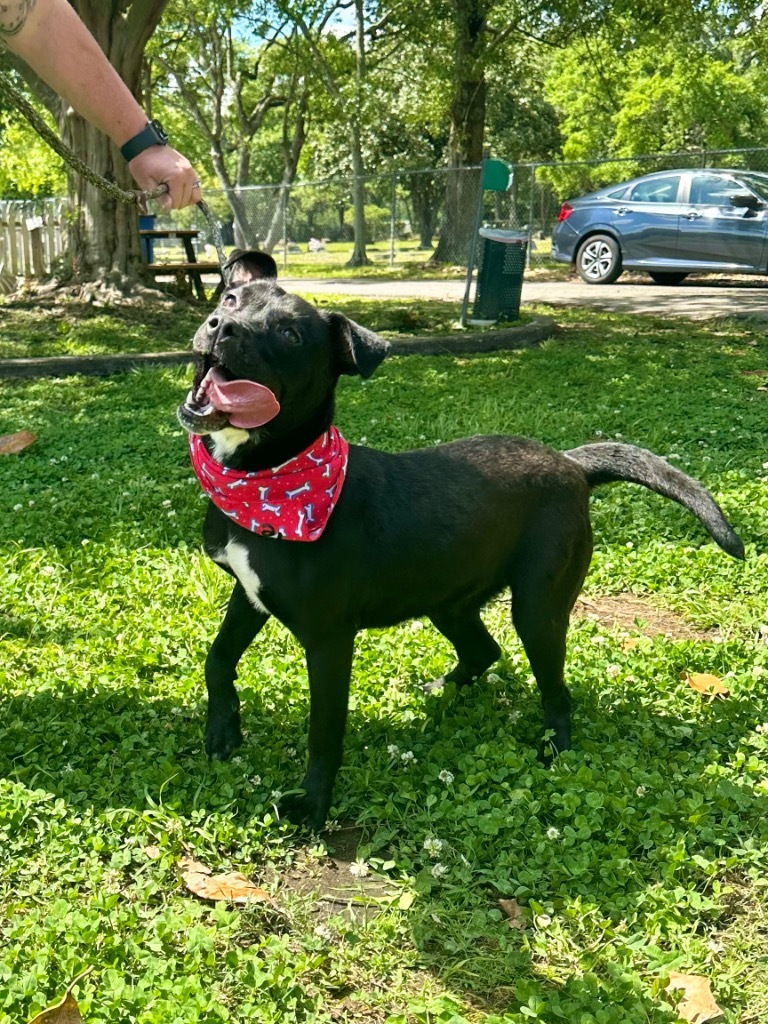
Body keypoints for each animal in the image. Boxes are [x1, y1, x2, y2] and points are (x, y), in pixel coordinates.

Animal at [179, 249, 745, 831]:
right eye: (230, 299)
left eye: (290, 334)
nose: (219, 326)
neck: (270, 480)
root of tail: (569, 464)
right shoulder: (248, 594)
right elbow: (217, 659)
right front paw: (223, 729)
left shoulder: (328, 639)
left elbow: (324, 731)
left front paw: (313, 804)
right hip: (447, 599)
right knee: (484, 649)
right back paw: (439, 695)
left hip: (538, 609)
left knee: (556, 691)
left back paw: (553, 748)